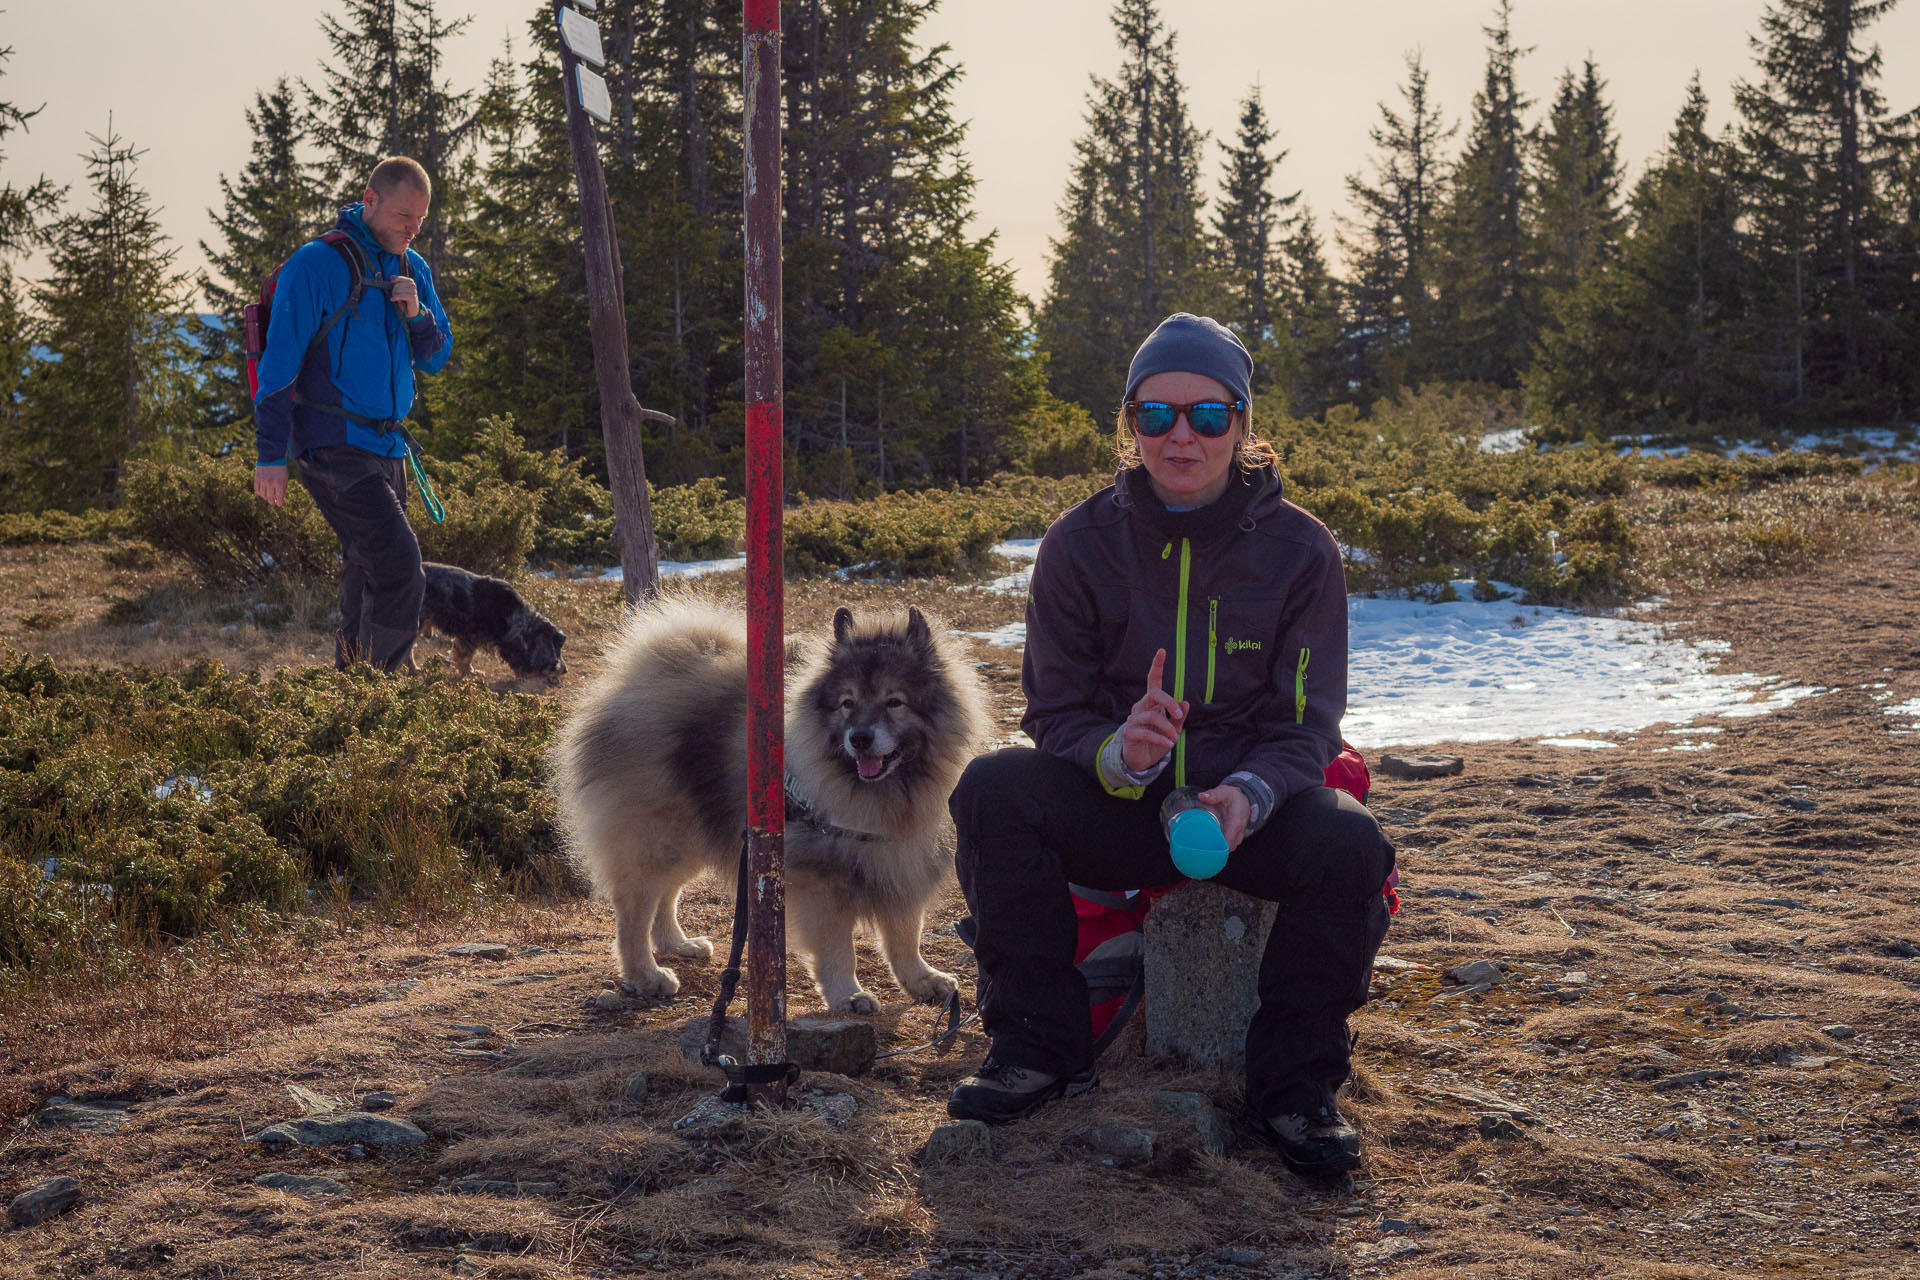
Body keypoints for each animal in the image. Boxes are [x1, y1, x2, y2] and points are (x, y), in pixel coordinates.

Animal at [545, 598, 983, 1013]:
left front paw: (922, 980)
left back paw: (677, 944)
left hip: (695, 835)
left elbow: (905, 936)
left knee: (665, 896)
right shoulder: (821, 879)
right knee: (634, 911)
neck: (883, 793)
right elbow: (839, 949)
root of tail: (637, 681)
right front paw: (848, 995)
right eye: (847, 703)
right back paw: (646, 976)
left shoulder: (899, 862)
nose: (859, 738)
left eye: (895, 702)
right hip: (660, 838)